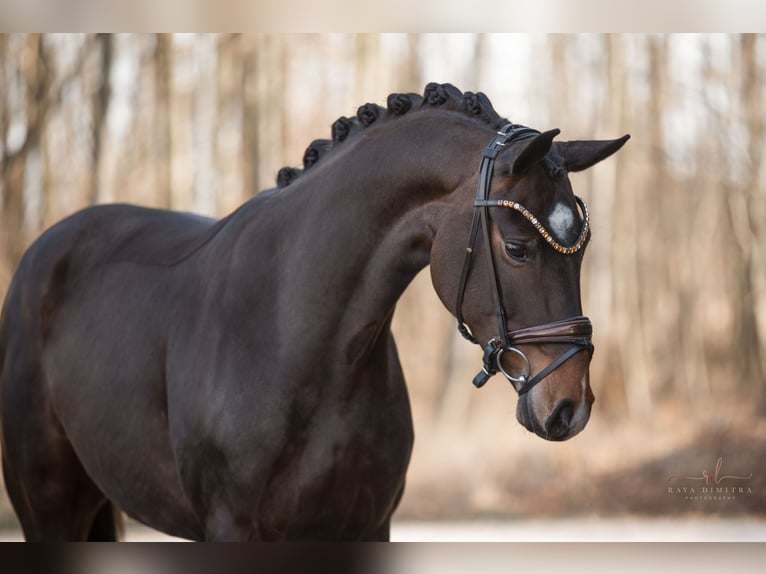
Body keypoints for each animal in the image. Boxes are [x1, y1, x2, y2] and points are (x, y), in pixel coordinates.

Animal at [0, 83, 632, 544]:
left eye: (584, 250)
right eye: (519, 248)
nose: (570, 406)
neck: (302, 342)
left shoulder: (367, 526)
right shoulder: (234, 530)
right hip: (49, 505)